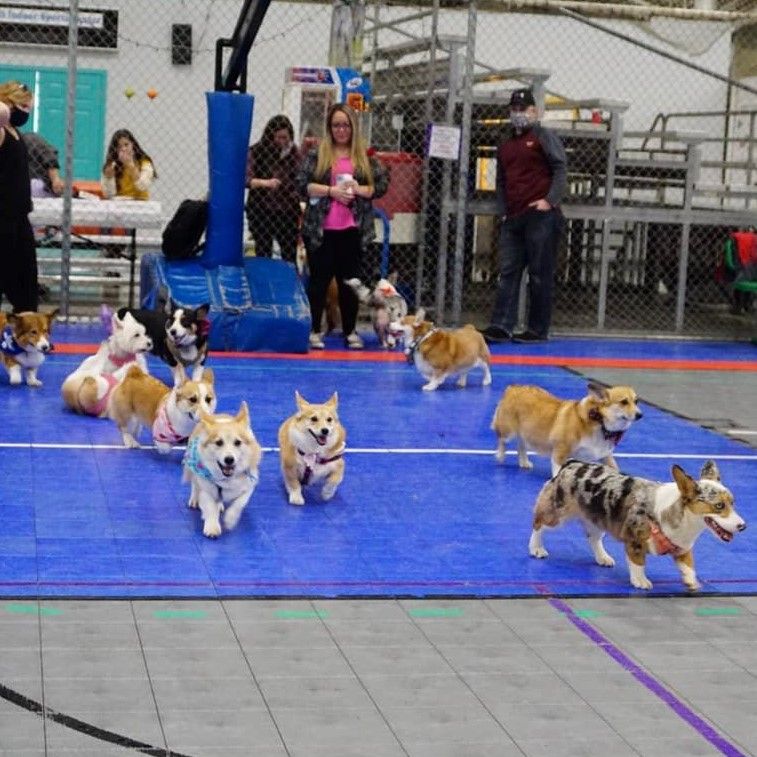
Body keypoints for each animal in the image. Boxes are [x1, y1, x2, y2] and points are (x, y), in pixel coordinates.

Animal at [182, 402, 262, 536]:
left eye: (237, 442)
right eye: (219, 442)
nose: (229, 459)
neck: (227, 479)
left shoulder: (249, 485)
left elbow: (239, 503)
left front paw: (230, 520)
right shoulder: (206, 488)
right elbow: (210, 508)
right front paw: (212, 527)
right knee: (195, 484)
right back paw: (194, 500)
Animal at [490, 380, 644, 476]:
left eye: (636, 401)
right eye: (624, 402)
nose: (640, 415)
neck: (599, 421)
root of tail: (513, 387)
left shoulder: (606, 455)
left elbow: (615, 467)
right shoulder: (561, 450)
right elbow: (557, 470)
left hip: (526, 432)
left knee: (521, 445)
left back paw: (524, 462)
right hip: (508, 431)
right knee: (502, 440)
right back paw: (500, 456)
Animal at [528, 460, 748, 592]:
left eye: (732, 503)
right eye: (719, 506)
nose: (742, 526)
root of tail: (570, 464)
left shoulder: (683, 548)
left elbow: (689, 565)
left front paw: (691, 581)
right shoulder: (634, 541)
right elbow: (638, 563)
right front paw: (640, 581)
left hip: (597, 519)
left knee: (593, 538)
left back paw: (603, 558)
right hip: (557, 514)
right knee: (538, 524)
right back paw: (536, 548)